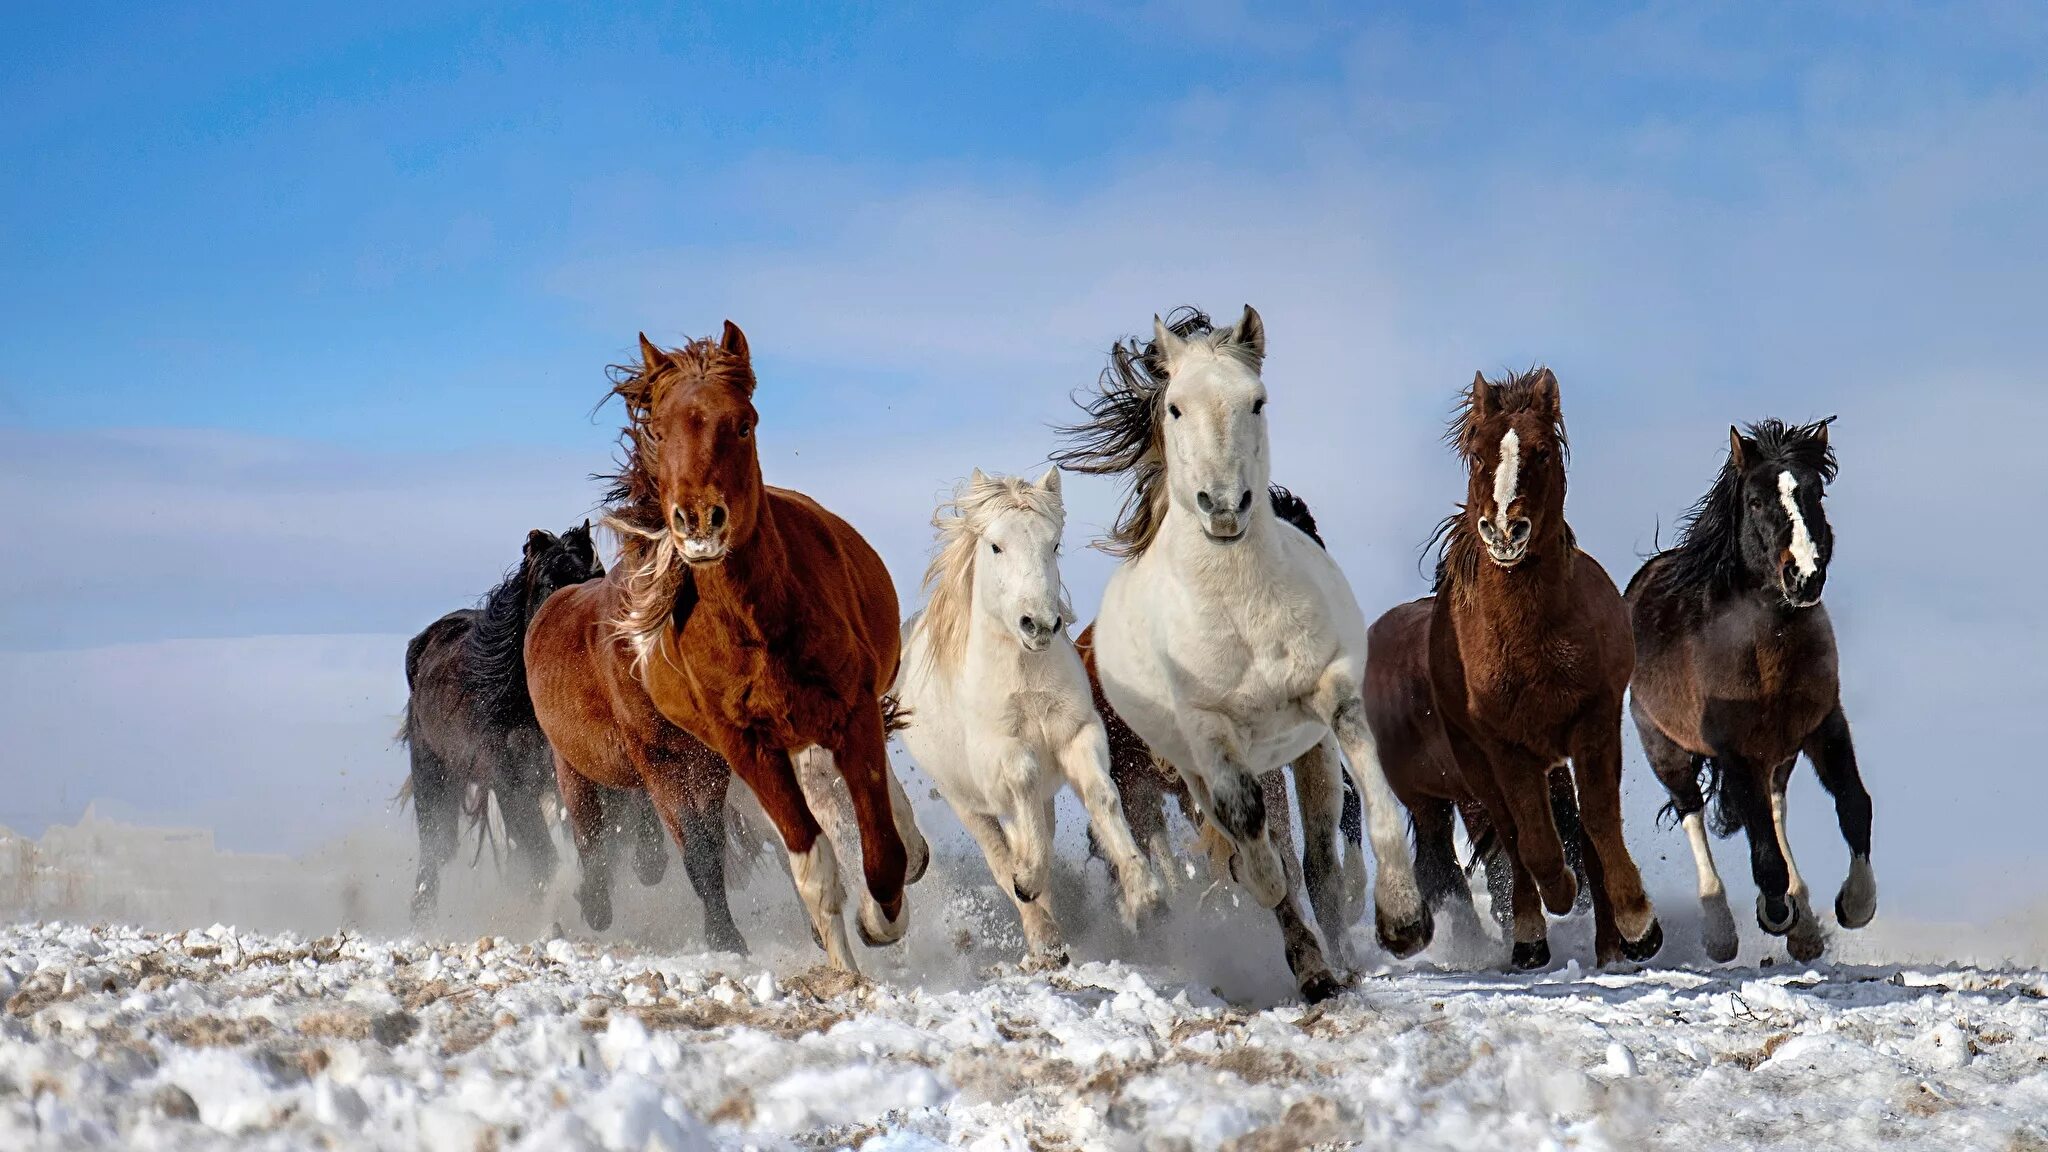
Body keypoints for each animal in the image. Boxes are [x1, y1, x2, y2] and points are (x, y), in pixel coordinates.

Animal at [536, 323, 929, 967]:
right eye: (659, 430)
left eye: (743, 424)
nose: (699, 521)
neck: (757, 630)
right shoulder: (745, 749)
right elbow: (812, 864)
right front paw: (845, 965)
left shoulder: (851, 712)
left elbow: (879, 849)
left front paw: (880, 922)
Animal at [897, 463, 1171, 959]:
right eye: (996, 545)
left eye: (1054, 543)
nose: (1039, 625)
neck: (1026, 681)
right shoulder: (1000, 756)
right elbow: (1022, 782)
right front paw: (1027, 878)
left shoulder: (1079, 734)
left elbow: (1102, 795)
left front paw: (1145, 895)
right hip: (967, 802)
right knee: (997, 853)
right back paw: (1041, 932)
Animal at [1048, 305, 1433, 996]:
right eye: (1175, 407)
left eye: (1257, 400)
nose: (1224, 507)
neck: (1239, 606)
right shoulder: (1211, 746)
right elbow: (1255, 851)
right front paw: (1292, 941)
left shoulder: (1328, 698)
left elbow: (1366, 790)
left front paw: (1403, 919)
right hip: (1190, 771)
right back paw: (1310, 964)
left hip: (1300, 755)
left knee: (1320, 862)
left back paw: (1340, 957)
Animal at [1425, 368, 1662, 967]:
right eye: (1479, 454)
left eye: (1541, 451)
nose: (1504, 531)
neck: (1530, 642)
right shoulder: (1506, 747)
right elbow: (1533, 840)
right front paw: (1557, 899)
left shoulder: (1594, 721)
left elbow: (1599, 822)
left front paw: (1638, 925)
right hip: (1478, 763)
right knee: (1513, 834)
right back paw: (1531, 937)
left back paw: (1610, 947)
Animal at [1622, 414, 1875, 959]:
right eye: (1756, 501)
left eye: (1815, 492)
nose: (1804, 576)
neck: (1767, 649)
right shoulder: (1734, 748)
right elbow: (1762, 848)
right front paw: (1775, 911)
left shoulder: (1825, 725)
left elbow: (1853, 804)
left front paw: (1855, 904)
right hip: (1666, 749)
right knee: (1693, 813)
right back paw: (1722, 931)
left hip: (1780, 754)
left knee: (1776, 810)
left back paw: (1804, 926)